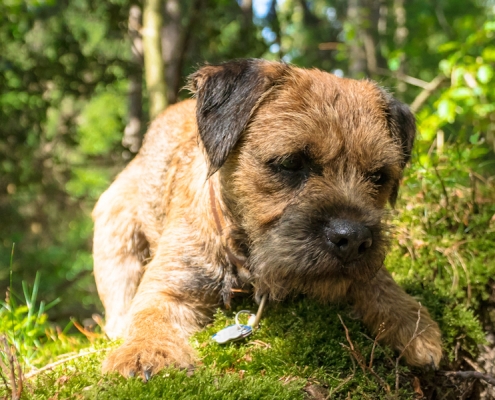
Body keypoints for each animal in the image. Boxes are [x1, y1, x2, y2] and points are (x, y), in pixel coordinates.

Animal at [94, 58, 446, 378]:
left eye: (378, 176)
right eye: (291, 163)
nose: (355, 237)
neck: (244, 260)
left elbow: (376, 280)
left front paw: (411, 321)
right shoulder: (170, 285)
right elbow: (149, 314)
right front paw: (146, 350)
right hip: (115, 228)